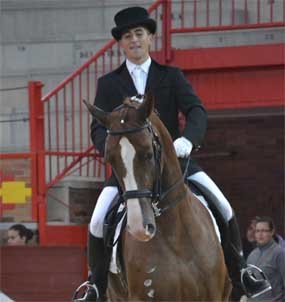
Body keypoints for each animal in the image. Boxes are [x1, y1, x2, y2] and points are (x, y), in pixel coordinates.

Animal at [84, 94, 231, 300]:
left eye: (148, 154)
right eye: (110, 160)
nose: (139, 228)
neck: (175, 235)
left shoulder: (213, 295)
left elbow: (194, 107)